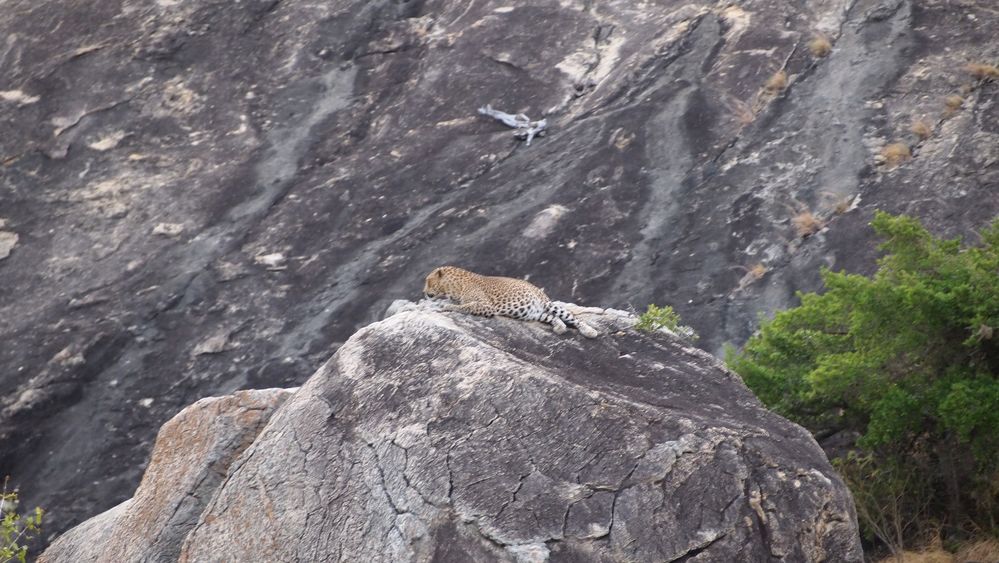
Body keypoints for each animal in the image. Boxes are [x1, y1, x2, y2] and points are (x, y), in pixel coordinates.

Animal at [424, 266, 596, 340]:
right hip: (537, 313)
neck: (454, 288)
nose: (424, 292)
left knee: (574, 318)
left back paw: (589, 331)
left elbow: (466, 306)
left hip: (549, 304)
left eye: (428, 281)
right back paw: (560, 328)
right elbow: (465, 305)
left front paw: (448, 306)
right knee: (553, 318)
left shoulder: (486, 306)